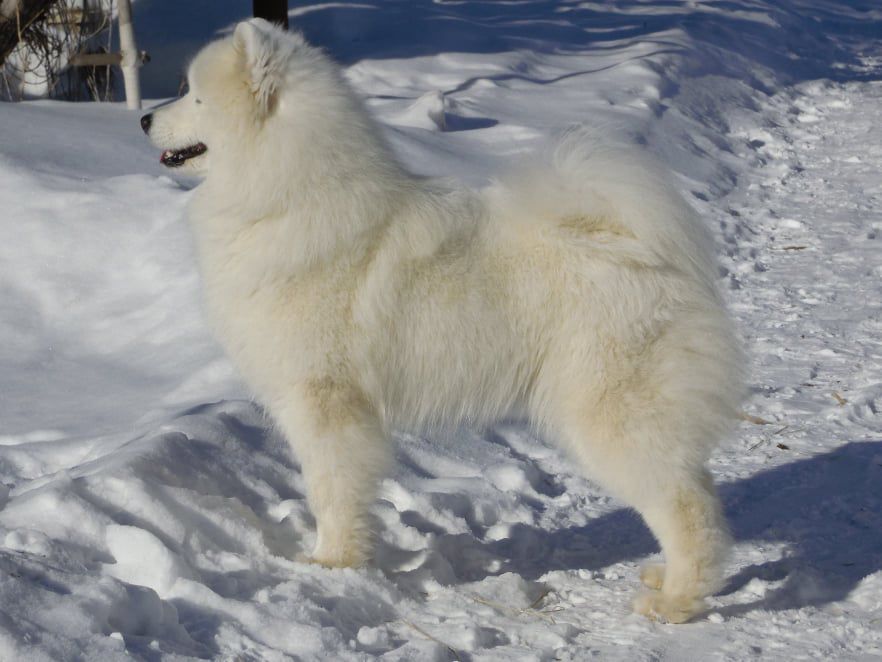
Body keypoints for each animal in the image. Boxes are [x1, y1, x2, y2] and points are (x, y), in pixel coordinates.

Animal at [143, 18, 744, 624]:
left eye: (194, 96)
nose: (144, 118)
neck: (289, 194)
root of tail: (635, 242)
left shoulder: (324, 402)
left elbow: (331, 492)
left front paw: (332, 564)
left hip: (611, 413)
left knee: (685, 505)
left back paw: (676, 600)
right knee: (698, 487)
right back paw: (669, 576)